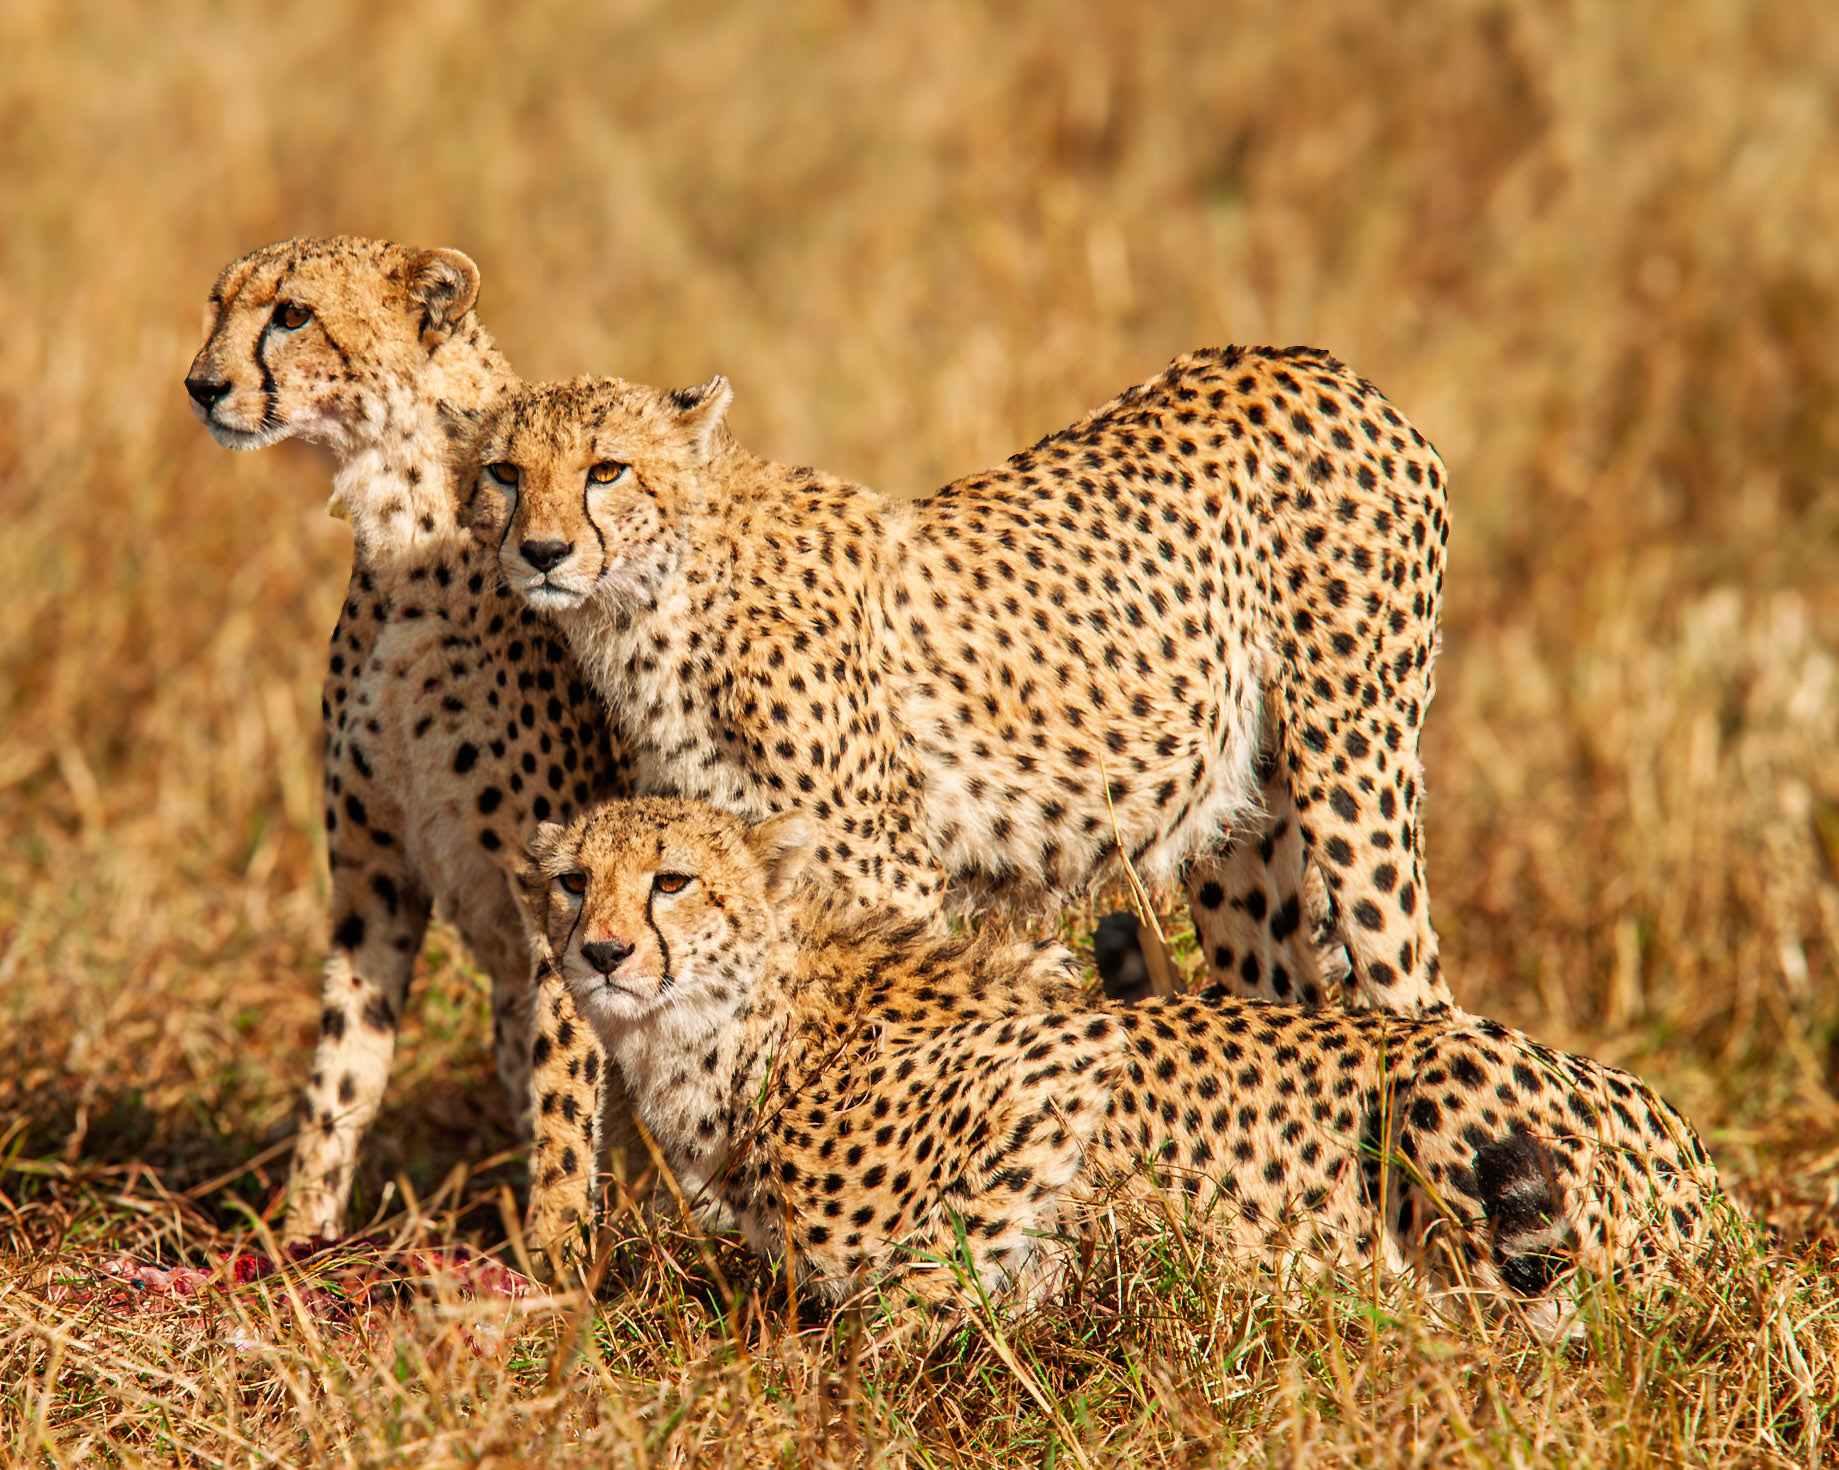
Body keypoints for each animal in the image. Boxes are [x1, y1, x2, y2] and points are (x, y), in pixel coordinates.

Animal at [185, 236, 634, 1243]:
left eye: (292, 314)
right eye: (217, 304)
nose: (200, 384)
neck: (399, 531)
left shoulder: (567, 902)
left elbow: (563, 1092)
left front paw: (551, 1260)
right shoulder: (373, 883)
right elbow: (341, 1071)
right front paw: (298, 1240)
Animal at [465, 347, 1452, 1025]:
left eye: (606, 470)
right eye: (504, 473)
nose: (543, 552)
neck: (658, 600)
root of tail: (1304, 361)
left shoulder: (889, 876)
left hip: (1354, 769)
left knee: (1415, 992)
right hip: (1242, 827)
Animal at [522, 797, 1727, 1336]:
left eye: (672, 880)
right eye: (573, 881)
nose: (603, 951)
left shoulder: (1061, 1061)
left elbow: (909, 1290)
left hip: (1442, 1084)